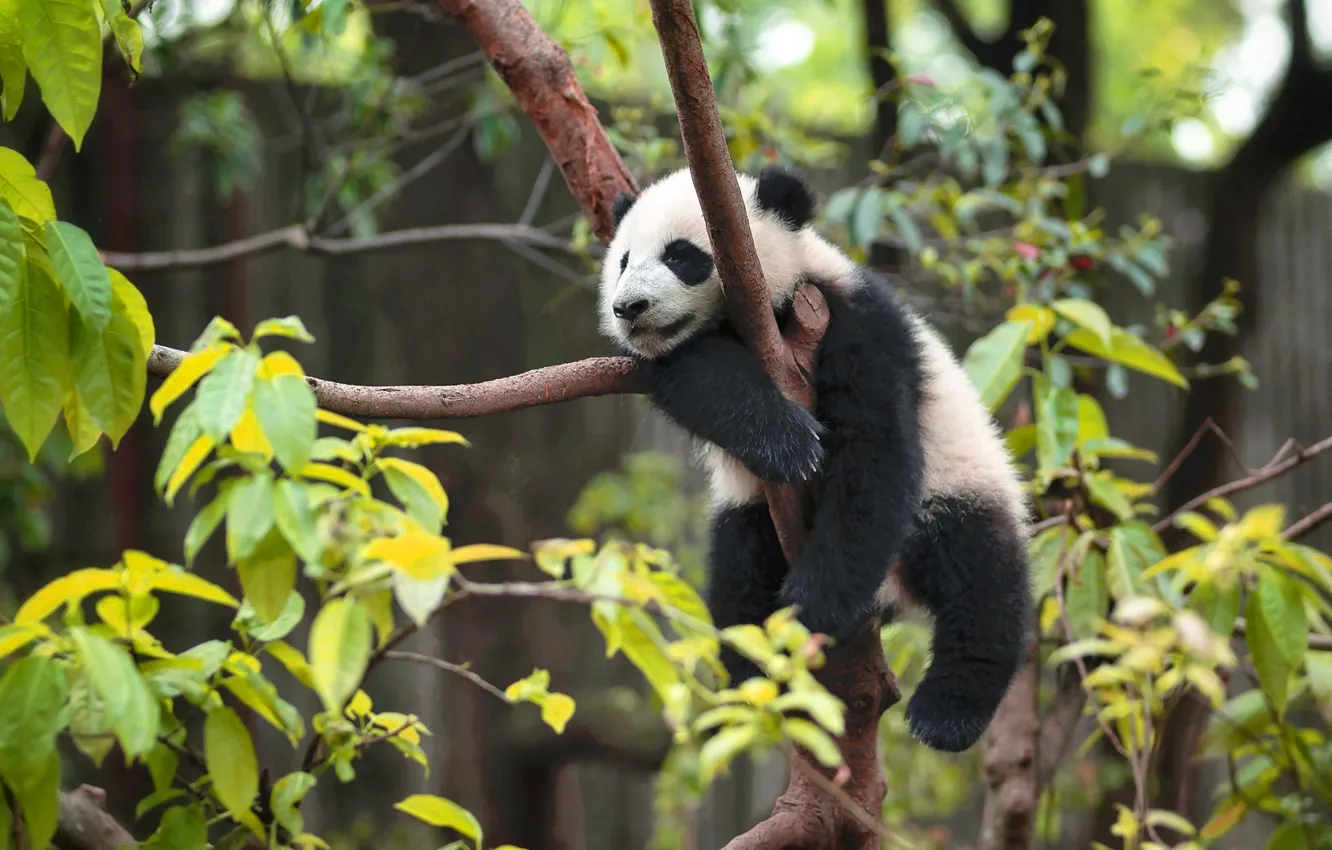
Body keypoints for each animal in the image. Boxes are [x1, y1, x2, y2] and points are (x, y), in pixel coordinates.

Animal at [598, 164, 1032, 753]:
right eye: (623, 260)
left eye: (682, 256)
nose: (628, 308)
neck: (771, 317)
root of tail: (895, 590)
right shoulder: (679, 356)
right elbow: (700, 373)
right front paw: (786, 444)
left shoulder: (852, 321)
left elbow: (875, 456)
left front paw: (812, 608)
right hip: (751, 518)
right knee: (738, 571)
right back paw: (750, 671)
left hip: (960, 486)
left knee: (981, 581)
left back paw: (946, 715)